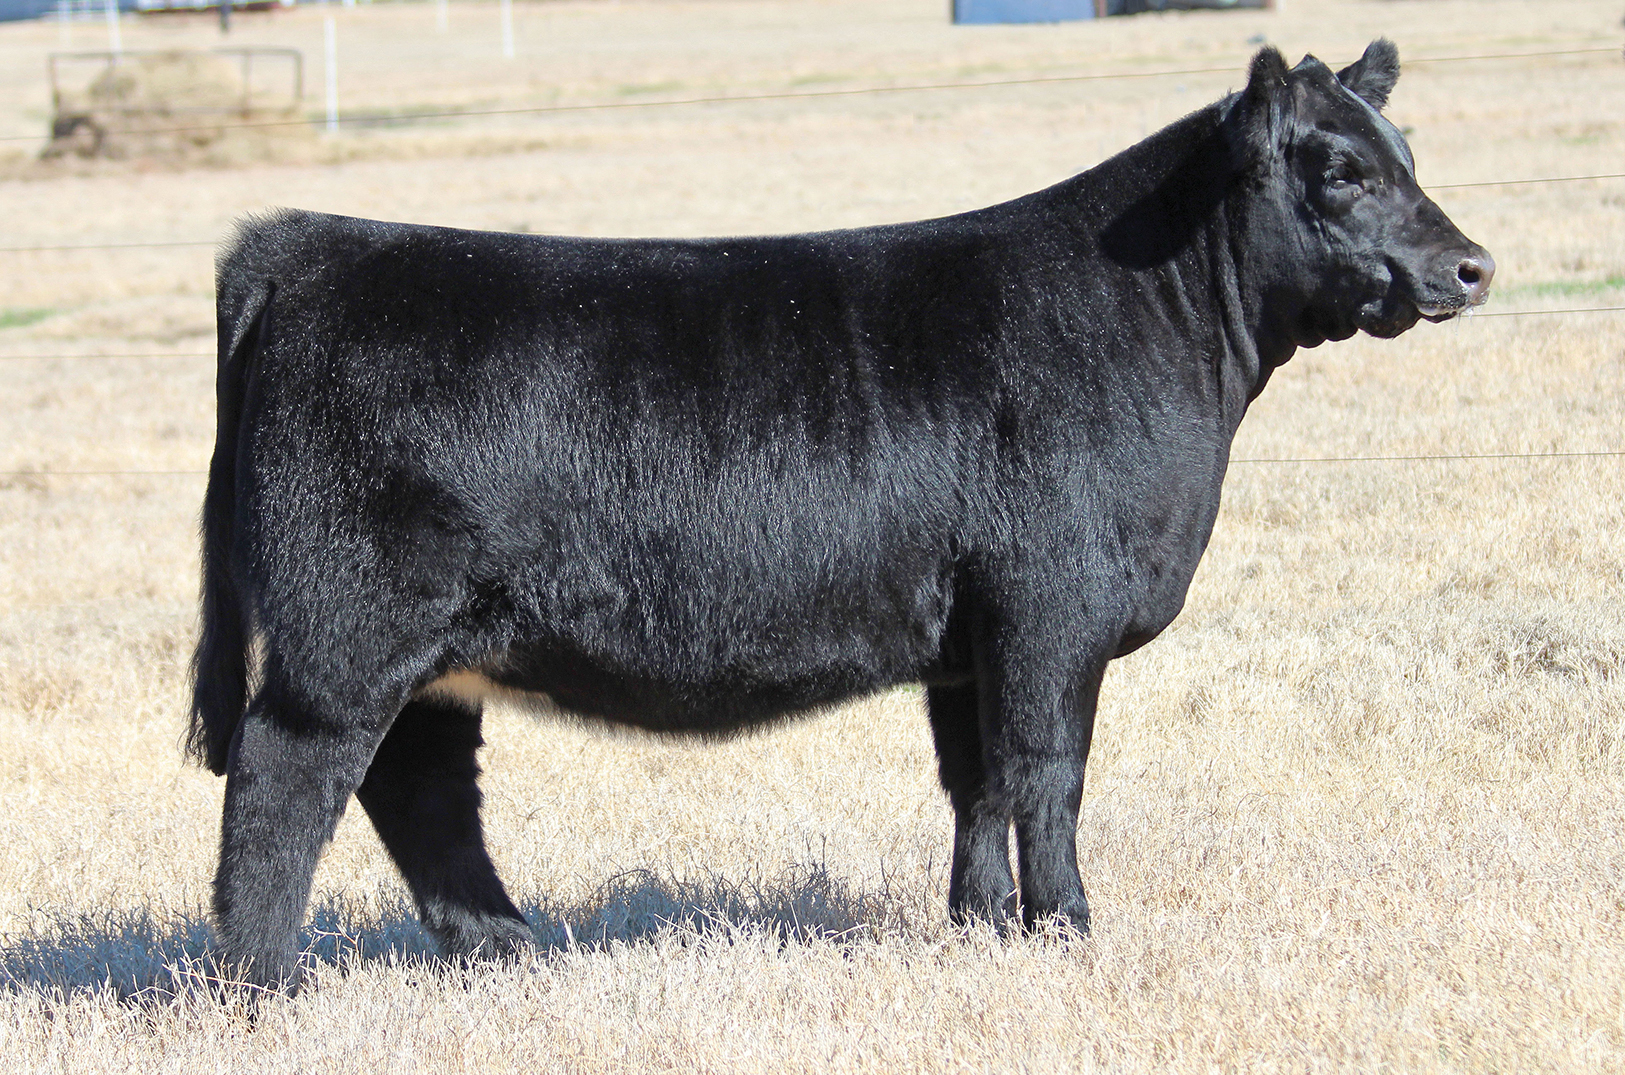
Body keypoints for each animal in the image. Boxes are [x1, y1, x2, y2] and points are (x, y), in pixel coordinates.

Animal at [190, 40, 1492, 992]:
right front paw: (1066, 930)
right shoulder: (1051, 604)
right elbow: (1048, 770)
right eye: (1338, 172)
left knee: (417, 788)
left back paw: (510, 952)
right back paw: (262, 984)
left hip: (427, 650)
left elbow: (976, 780)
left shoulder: (968, 639)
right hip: (345, 635)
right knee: (283, 782)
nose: (1471, 266)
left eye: (1407, 154)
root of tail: (303, 243)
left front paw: (979, 927)